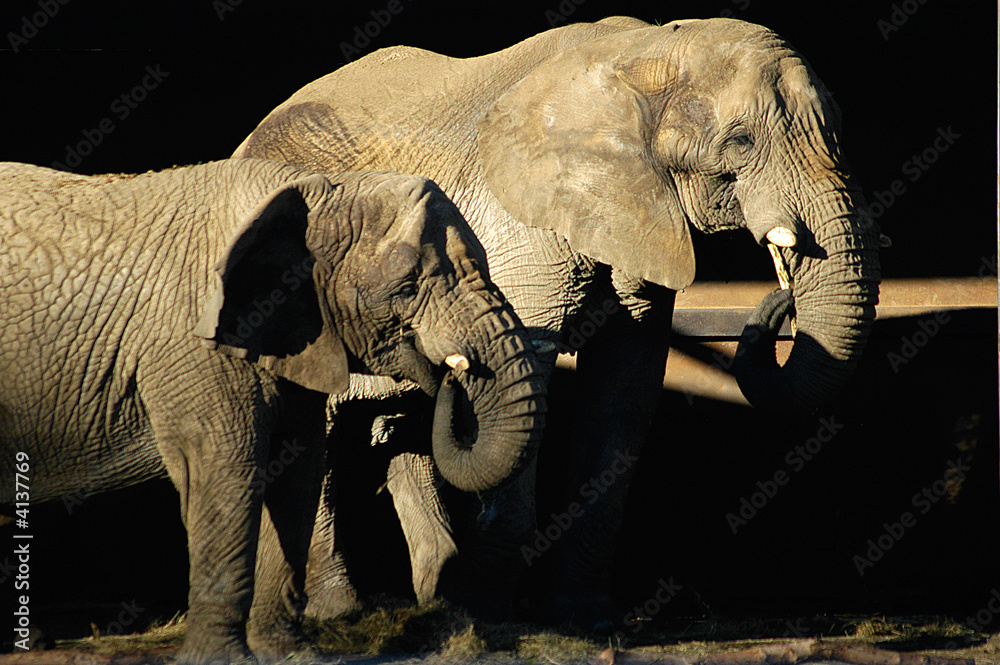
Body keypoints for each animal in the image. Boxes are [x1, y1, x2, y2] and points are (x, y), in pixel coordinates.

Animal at [0, 158, 547, 664]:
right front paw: (221, 660)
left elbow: (296, 473)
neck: (312, 188)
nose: (453, 371)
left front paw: (290, 654)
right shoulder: (196, 346)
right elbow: (229, 471)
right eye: (409, 284)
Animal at [233, 16, 882, 629]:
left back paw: (435, 600)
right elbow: (529, 378)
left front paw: (585, 618)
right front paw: (488, 615)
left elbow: (623, 394)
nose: (782, 296)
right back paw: (339, 613)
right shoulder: (524, 223)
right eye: (741, 141)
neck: (646, 53)